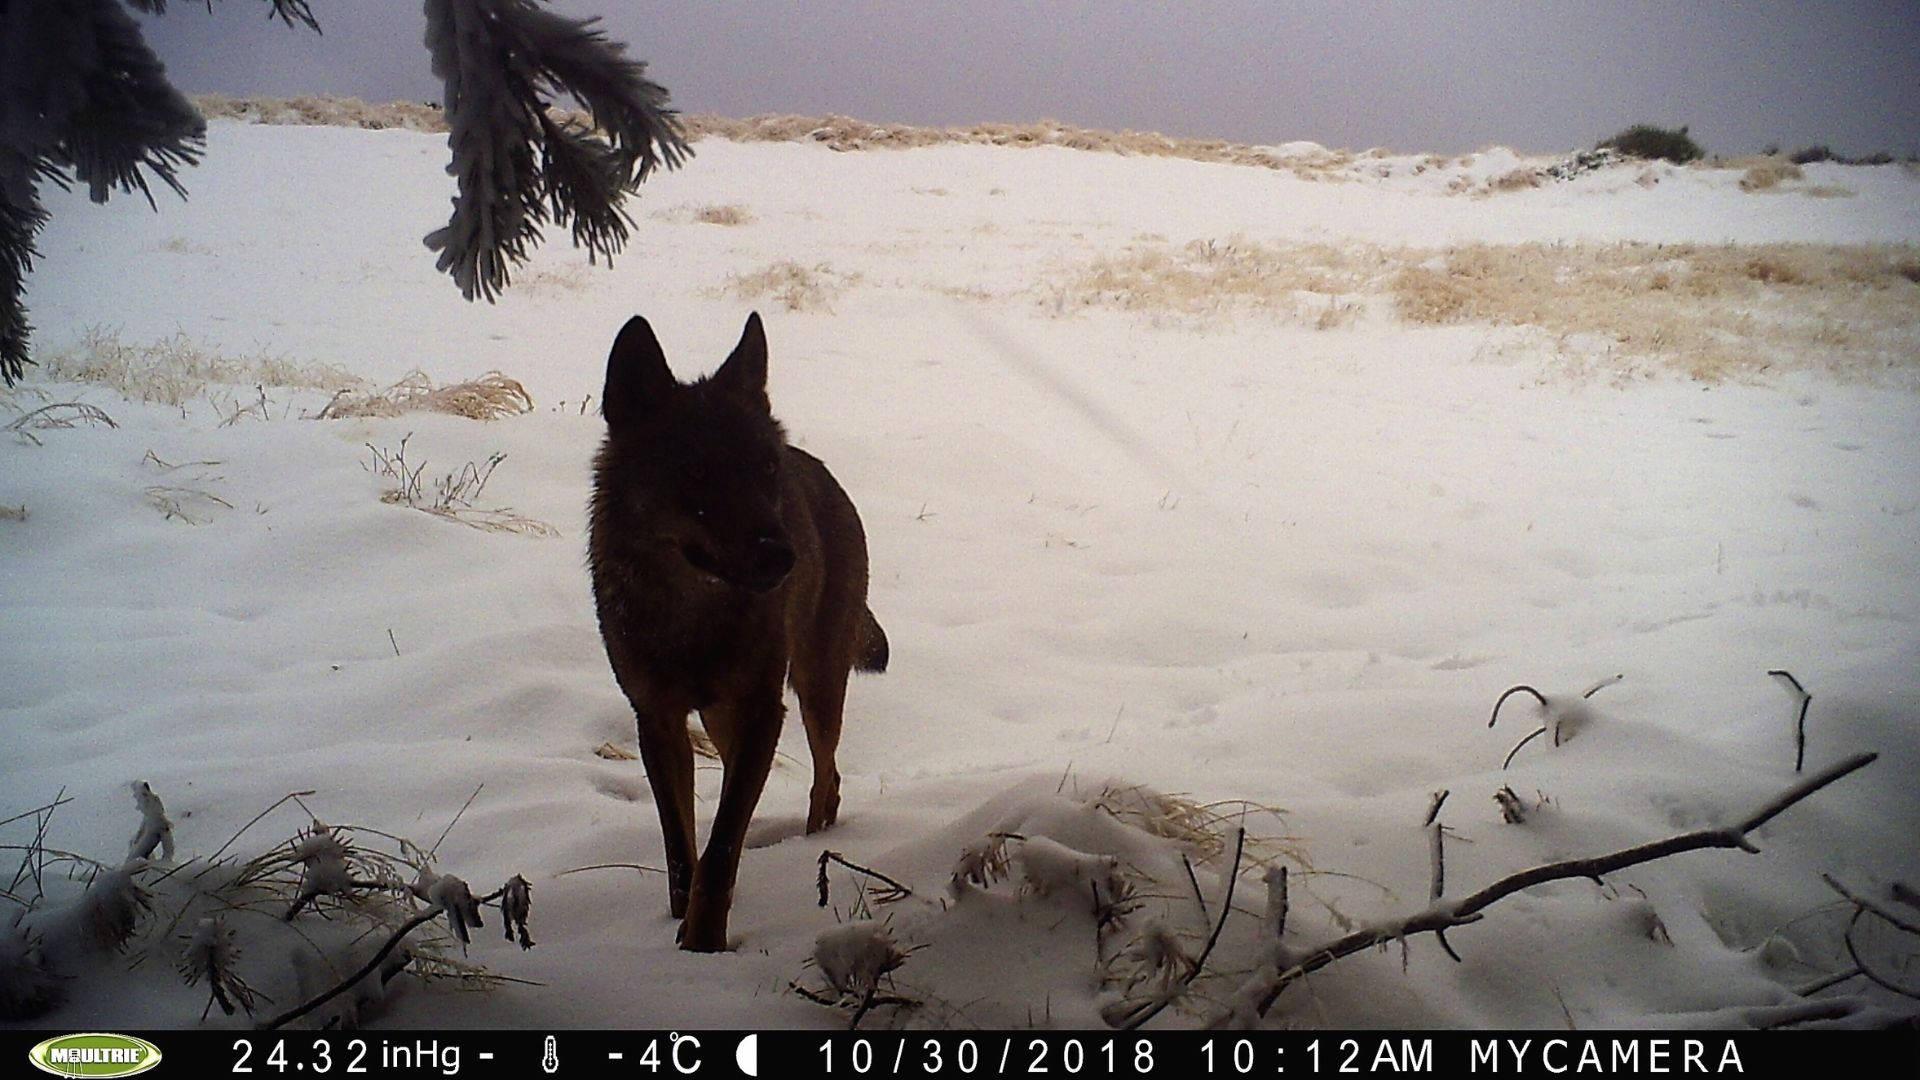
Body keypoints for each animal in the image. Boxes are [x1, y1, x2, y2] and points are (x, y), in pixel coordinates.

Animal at [588, 312, 887, 951]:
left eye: (764, 470)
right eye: (696, 470)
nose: (784, 557)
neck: (692, 619)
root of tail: (821, 470)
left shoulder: (761, 710)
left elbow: (722, 848)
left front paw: (703, 945)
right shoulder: (659, 721)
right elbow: (682, 849)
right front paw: (677, 926)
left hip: (812, 689)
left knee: (827, 780)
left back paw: (812, 846)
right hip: (727, 719)